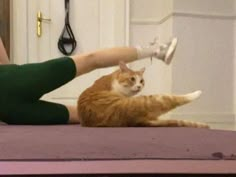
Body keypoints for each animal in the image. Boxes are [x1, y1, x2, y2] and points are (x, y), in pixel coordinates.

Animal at [77, 61, 208, 128]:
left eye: (141, 81)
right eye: (132, 79)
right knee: (172, 98)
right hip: (147, 101)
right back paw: (196, 93)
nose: (139, 86)